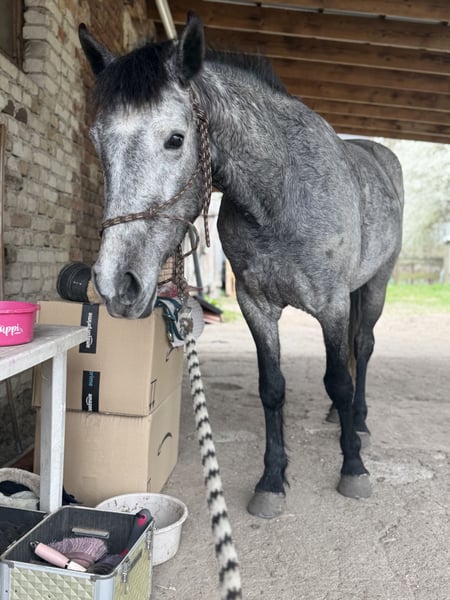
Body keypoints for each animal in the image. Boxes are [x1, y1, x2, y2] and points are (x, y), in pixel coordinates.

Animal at [79, 13, 404, 519]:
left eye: (175, 139)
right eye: (97, 140)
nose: (117, 284)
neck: (282, 192)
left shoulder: (331, 306)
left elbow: (338, 380)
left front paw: (353, 468)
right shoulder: (255, 305)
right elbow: (272, 388)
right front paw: (272, 481)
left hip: (375, 287)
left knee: (362, 349)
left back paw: (360, 424)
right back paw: (343, 420)